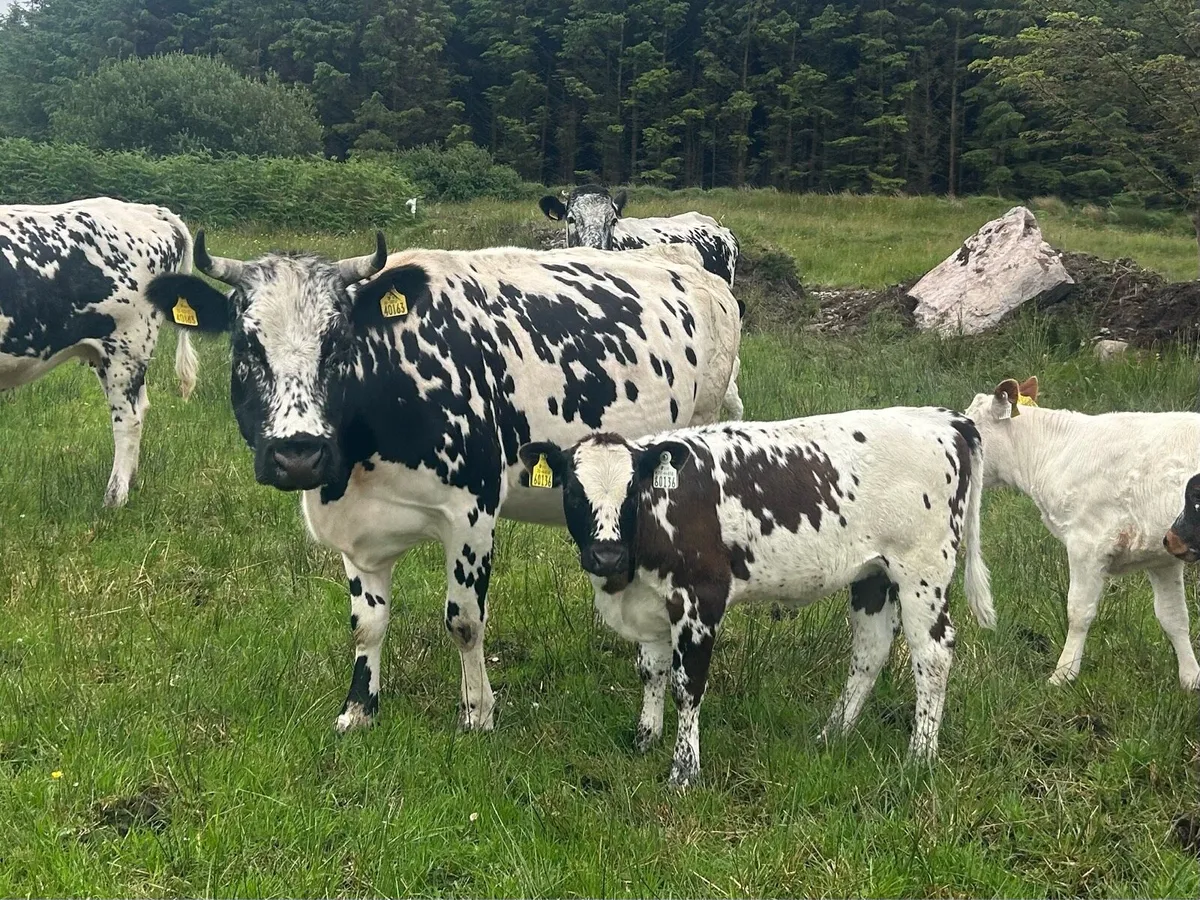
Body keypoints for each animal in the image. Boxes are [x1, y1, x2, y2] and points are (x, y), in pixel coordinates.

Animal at [0, 197, 198, 507]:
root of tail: (146, 209)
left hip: (126, 347)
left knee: (128, 420)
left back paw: (114, 497)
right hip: (114, 355)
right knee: (141, 407)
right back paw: (130, 482)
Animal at [144, 232, 742, 734]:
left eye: (338, 343)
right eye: (246, 346)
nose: (298, 453)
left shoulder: (472, 514)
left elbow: (464, 621)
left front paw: (477, 712)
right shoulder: (357, 532)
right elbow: (366, 625)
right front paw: (359, 709)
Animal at [518, 408, 995, 786]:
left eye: (633, 490)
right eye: (572, 491)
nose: (606, 554)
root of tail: (947, 419)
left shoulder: (700, 601)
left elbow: (687, 686)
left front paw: (684, 771)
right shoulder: (653, 603)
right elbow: (652, 672)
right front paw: (644, 739)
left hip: (923, 574)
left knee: (933, 654)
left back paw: (920, 756)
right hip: (873, 576)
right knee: (870, 650)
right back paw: (833, 733)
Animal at [965, 377, 1200, 691]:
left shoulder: (1087, 543)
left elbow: (1078, 611)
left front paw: (1063, 674)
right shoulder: (1162, 556)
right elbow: (1174, 617)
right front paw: (1191, 678)